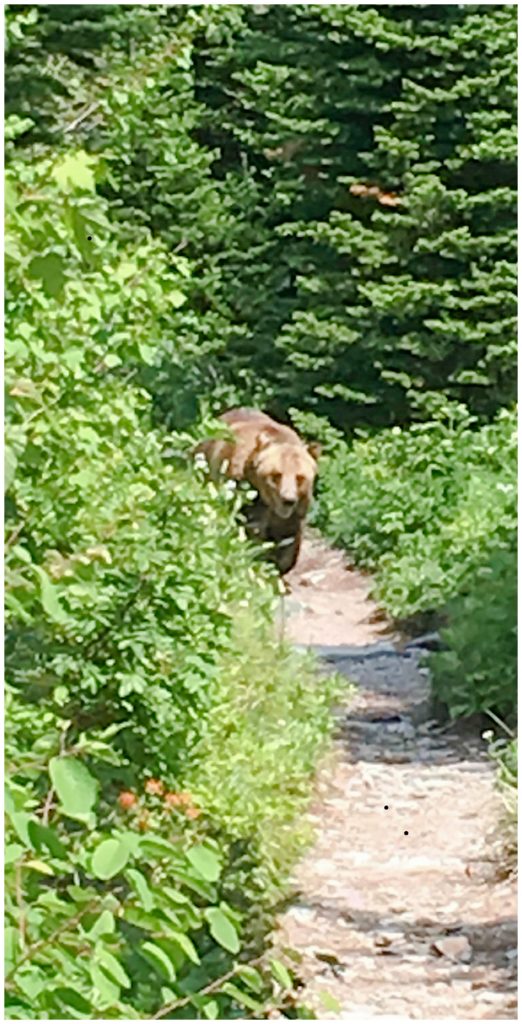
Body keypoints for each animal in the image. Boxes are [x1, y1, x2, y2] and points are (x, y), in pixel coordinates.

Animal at [193, 405, 319, 577]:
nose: (288, 500)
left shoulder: (294, 514)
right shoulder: (245, 497)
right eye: (276, 475)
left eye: (300, 477)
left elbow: (287, 543)